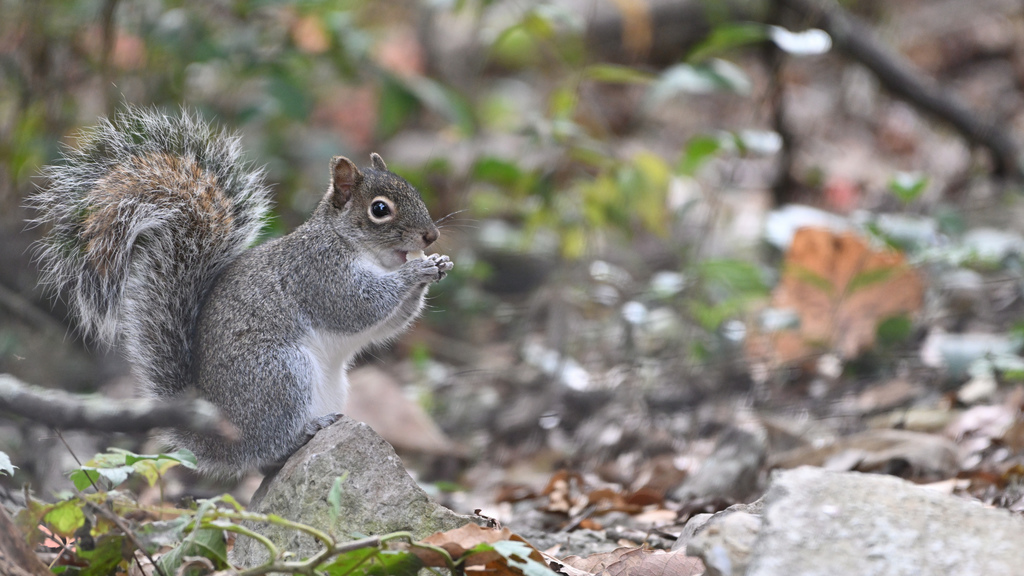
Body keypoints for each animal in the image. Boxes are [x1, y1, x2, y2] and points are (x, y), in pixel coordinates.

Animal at [30, 106, 453, 477]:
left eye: (414, 192)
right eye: (380, 210)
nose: (431, 236)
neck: (357, 248)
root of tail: (221, 440)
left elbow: (388, 322)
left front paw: (439, 264)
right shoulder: (319, 274)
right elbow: (358, 306)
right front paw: (416, 270)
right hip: (280, 372)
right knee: (268, 447)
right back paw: (306, 430)